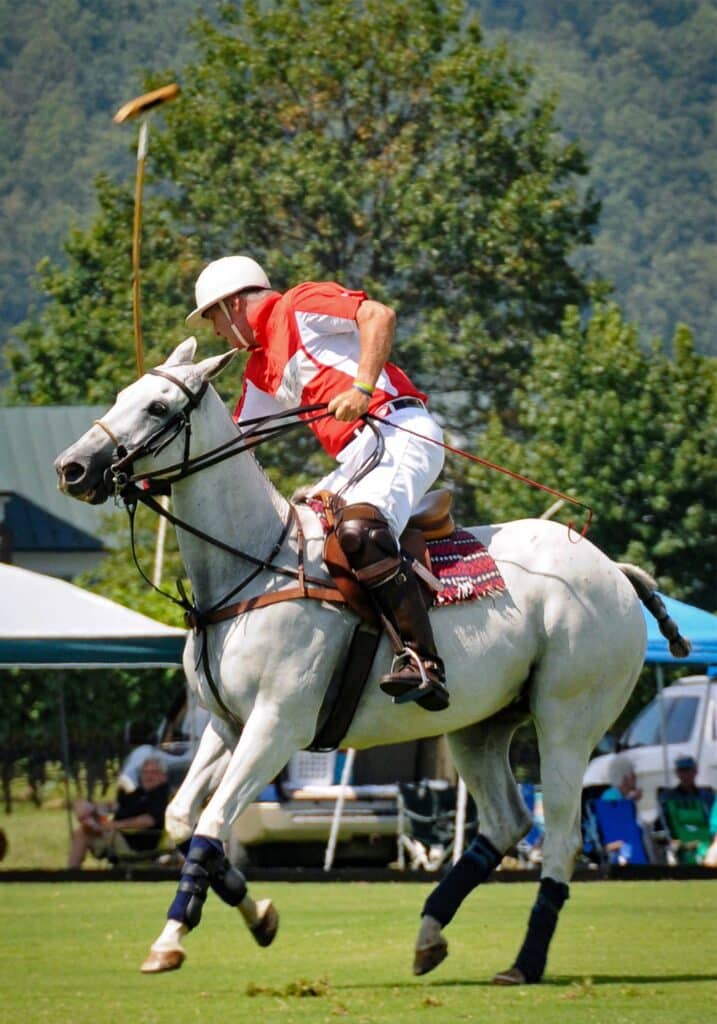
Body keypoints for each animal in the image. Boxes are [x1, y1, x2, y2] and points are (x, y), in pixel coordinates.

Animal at [54, 342, 684, 983]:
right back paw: (430, 933)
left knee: (561, 834)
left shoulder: (278, 725)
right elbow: (183, 819)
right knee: (508, 821)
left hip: (567, 719)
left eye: (157, 407)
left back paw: (524, 962)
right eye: (121, 396)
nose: (71, 469)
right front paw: (258, 916)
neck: (250, 568)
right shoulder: (228, 726)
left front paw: (171, 940)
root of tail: (615, 570)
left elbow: (211, 825)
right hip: (480, 725)